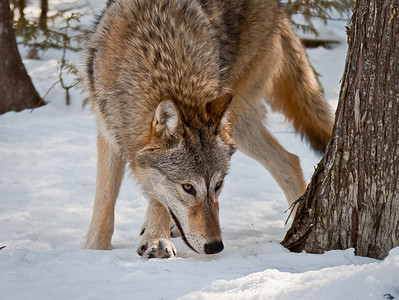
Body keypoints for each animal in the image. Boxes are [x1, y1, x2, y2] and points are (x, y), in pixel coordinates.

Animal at [82, 0, 334, 258]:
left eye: (218, 185)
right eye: (188, 187)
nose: (215, 247)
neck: (162, 56)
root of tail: (279, 9)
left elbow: (159, 198)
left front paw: (156, 240)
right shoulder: (108, 131)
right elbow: (105, 202)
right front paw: (94, 249)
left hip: (236, 115)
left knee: (290, 160)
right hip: (239, 126)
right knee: (290, 160)